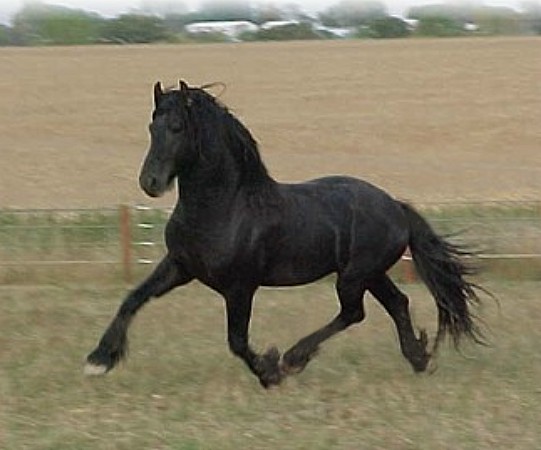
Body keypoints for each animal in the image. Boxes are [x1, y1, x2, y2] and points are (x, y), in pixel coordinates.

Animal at [85, 81, 486, 386]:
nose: (150, 182)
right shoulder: (180, 267)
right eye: (151, 128)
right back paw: (418, 358)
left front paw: (270, 372)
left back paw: (295, 357)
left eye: (178, 128)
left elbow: (236, 340)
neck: (225, 207)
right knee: (396, 304)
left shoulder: (240, 286)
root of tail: (395, 205)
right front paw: (99, 358)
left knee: (354, 312)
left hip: (354, 275)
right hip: (369, 273)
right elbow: (133, 299)